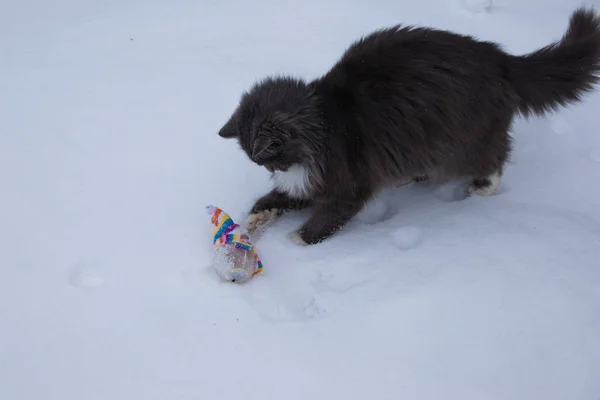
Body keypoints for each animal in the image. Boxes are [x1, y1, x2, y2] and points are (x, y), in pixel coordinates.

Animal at [218, 7, 600, 244]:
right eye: (261, 164)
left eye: (270, 158)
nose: (272, 170)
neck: (323, 124)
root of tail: (499, 57)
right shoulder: (308, 182)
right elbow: (275, 199)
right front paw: (255, 217)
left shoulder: (346, 184)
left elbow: (328, 217)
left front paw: (297, 239)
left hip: (462, 142)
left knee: (496, 156)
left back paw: (484, 186)